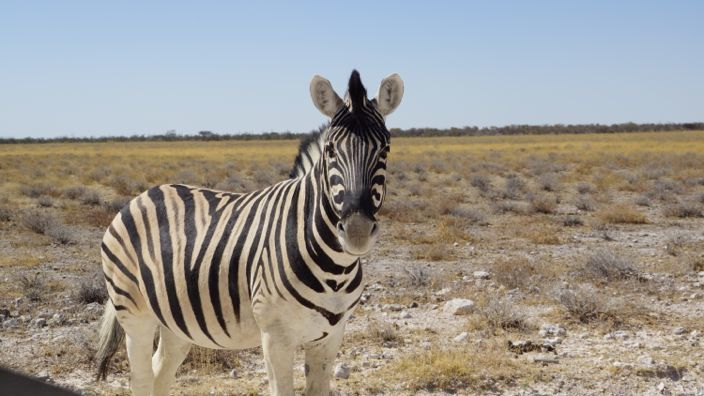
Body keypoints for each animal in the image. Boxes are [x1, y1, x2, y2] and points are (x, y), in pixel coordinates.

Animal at [95, 71, 402, 396]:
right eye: (331, 150)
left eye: (385, 149)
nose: (357, 231)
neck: (335, 267)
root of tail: (142, 195)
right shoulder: (276, 337)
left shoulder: (330, 337)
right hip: (133, 310)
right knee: (141, 377)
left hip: (175, 318)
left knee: (160, 372)